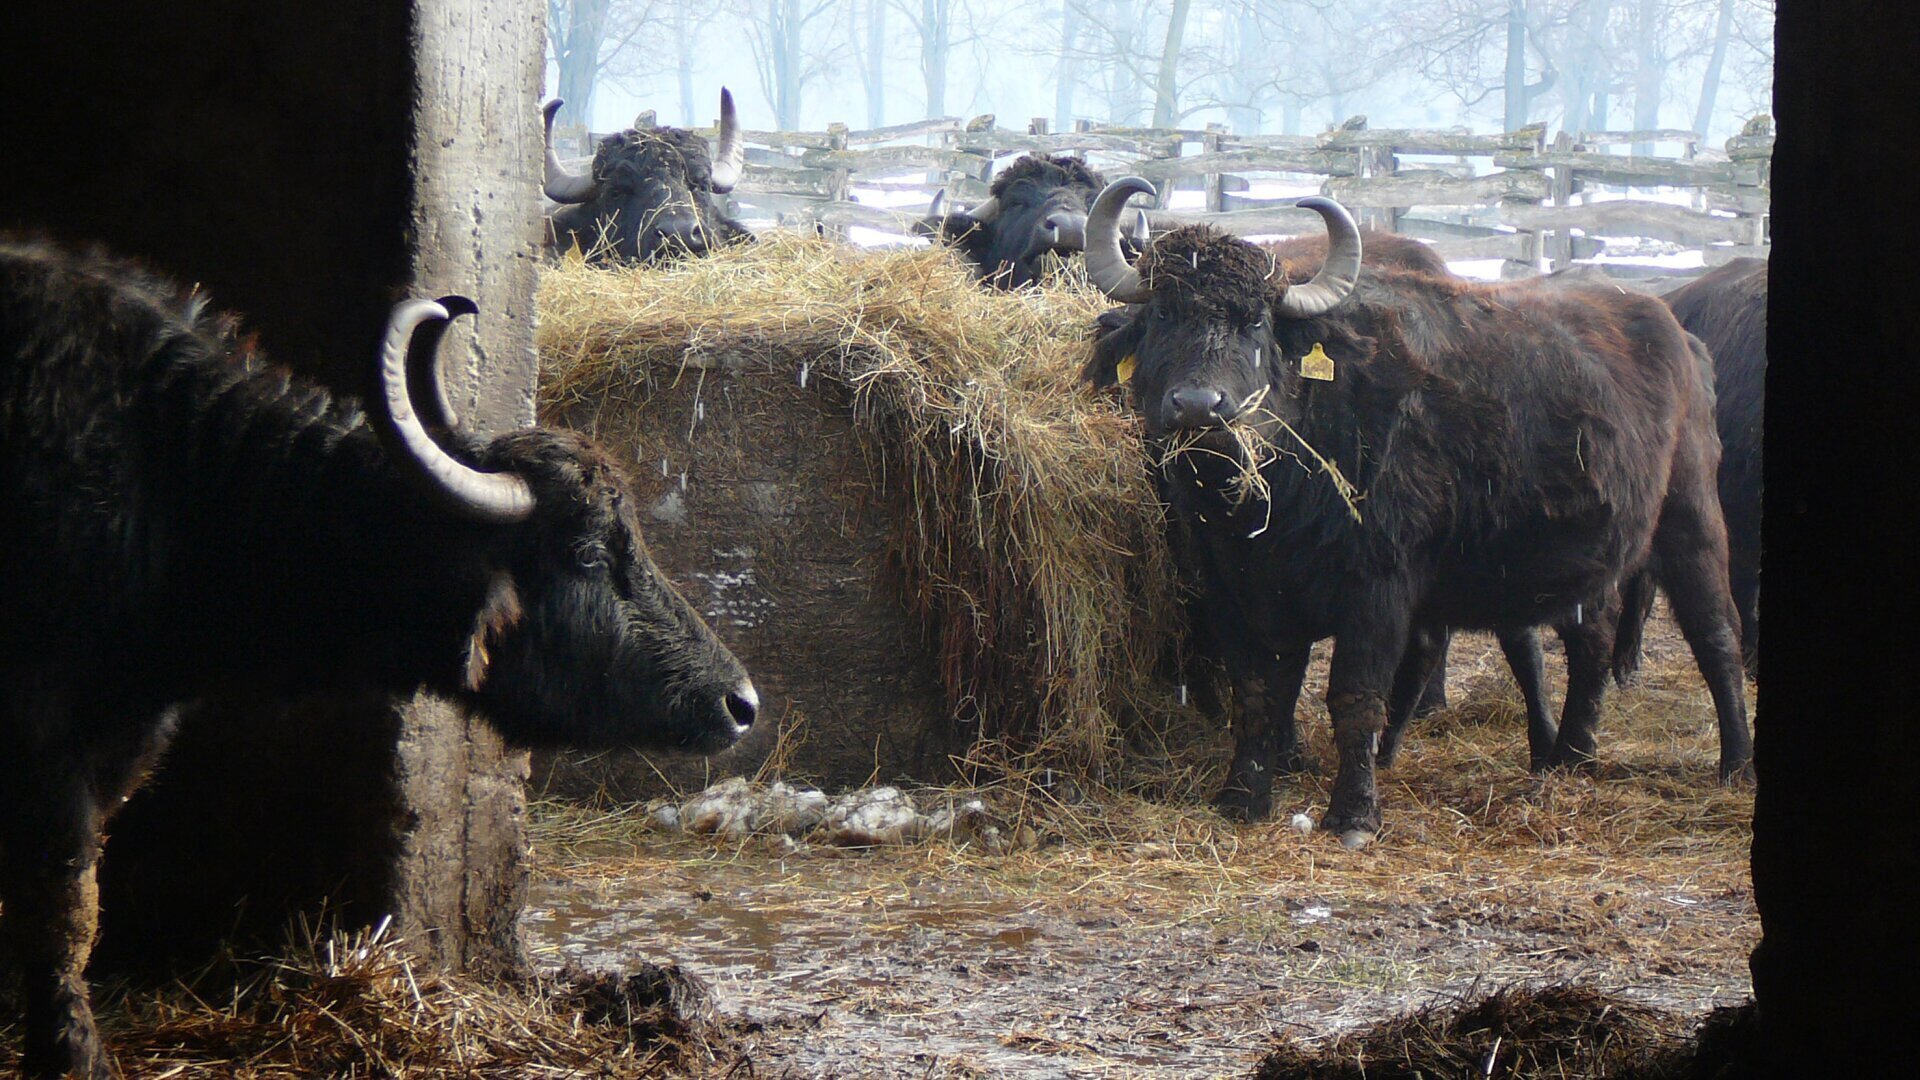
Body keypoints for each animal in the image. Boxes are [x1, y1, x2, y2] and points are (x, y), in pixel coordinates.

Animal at [0, 235, 758, 1078]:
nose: (740, 703)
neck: (180, 480)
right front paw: (71, 1056)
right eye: (589, 552)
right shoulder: (44, 743)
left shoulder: (116, 746)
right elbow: (64, 909)